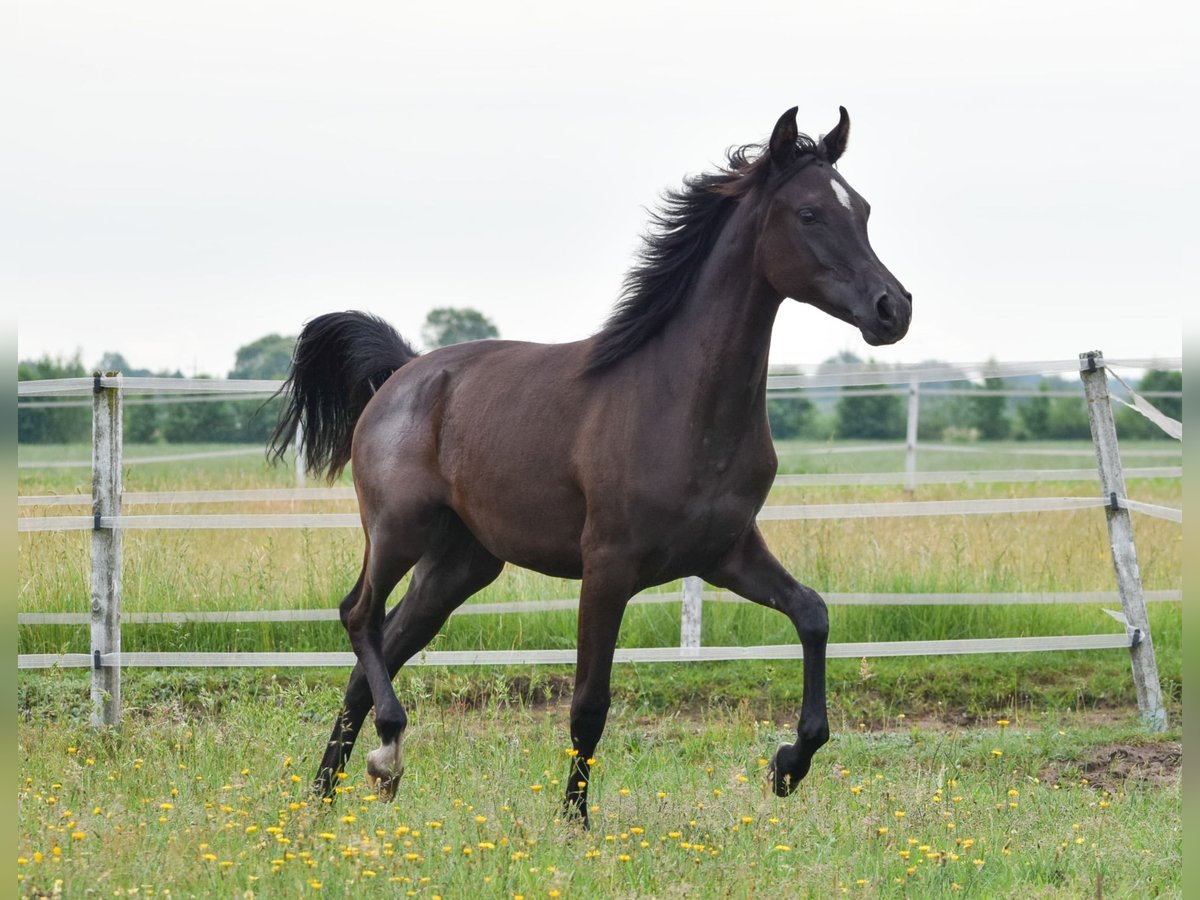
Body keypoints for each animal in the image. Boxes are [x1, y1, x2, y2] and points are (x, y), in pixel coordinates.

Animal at [270, 103, 907, 825]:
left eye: (863, 209)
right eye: (808, 214)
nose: (893, 309)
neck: (679, 403)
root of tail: (403, 372)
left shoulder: (727, 553)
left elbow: (813, 614)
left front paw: (788, 766)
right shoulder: (608, 568)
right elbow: (589, 705)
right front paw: (573, 822)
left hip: (460, 563)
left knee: (376, 650)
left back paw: (326, 796)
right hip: (397, 530)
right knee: (359, 616)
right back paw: (385, 751)